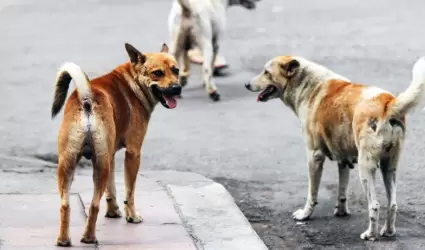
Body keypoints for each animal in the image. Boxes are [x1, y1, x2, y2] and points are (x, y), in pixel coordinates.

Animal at [51, 43, 181, 246]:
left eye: (176, 70)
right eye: (157, 73)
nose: (177, 88)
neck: (132, 82)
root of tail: (87, 98)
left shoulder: (110, 155)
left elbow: (111, 189)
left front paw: (113, 212)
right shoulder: (133, 153)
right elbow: (130, 192)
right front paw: (132, 216)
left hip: (68, 164)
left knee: (65, 205)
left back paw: (64, 240)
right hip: (99, 166)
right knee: (94, 205)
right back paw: (89, 237)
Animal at [243, 55, 424, 240]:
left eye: (266, 72)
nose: (247, 85)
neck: (307, 85)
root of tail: (387, 102)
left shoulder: (314, 156)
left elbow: (312, 193)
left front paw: (305, 215)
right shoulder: (343, 159)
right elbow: (342, 190)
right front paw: (341, 212)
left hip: (366, 168)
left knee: (374, 205)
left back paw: (371, 234)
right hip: (389, 167)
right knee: (392, 204)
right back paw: (388, 231)